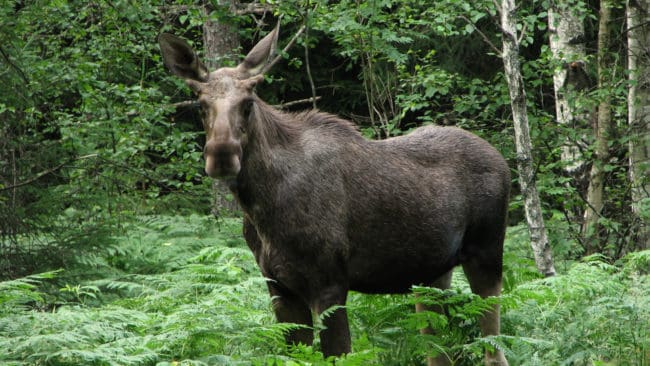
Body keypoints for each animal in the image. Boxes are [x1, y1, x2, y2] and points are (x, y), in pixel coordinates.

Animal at [159, 22, 508, 366]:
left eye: (248, 103)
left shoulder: (330, 283)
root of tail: (503, 160)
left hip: (486, 254)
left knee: (494, 350)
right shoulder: (279, 287)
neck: (261, 209)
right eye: (201, 104)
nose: (222, 154)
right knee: (439, 351)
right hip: (431, 274)